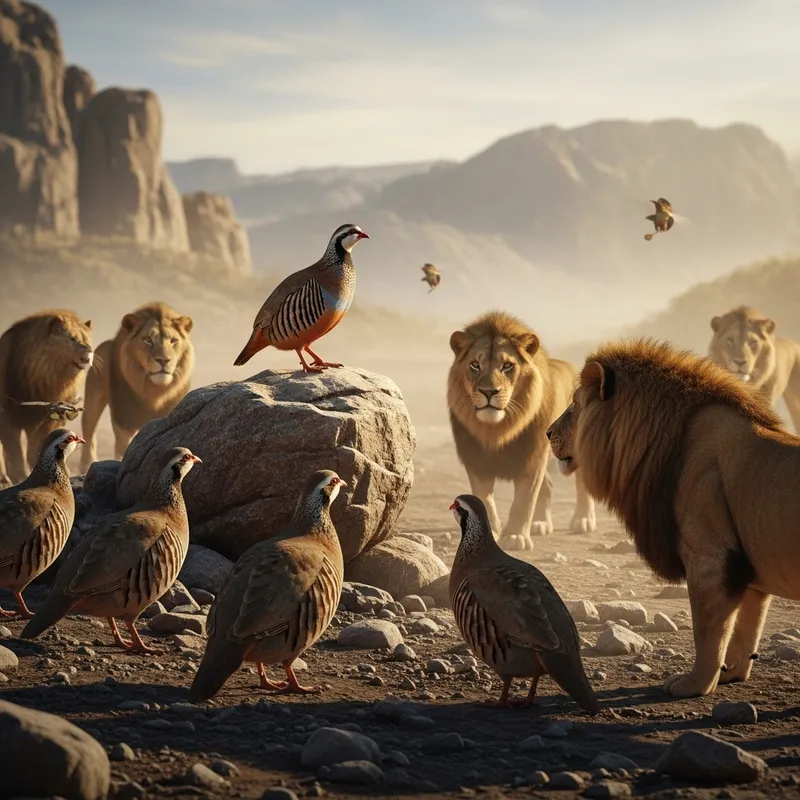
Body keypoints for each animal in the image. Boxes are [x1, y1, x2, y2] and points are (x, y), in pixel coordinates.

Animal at [0, 310, 93, 485]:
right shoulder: (8, 416)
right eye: (72, 339)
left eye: (86, 340)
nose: (90, 352)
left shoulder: (50, 417)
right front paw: (20, 476)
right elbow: (14, 451)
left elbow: (38, 445)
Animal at [80, 302, 194, 472]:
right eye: (147, 340)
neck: (154, 391)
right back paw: (87, 465)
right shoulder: (124, 418)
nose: (163, 360)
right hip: (94, 398)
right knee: (89, 430)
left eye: (174, 341)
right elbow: (124, 448)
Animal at [448, 310, 596, 552]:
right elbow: (483, 497)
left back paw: (583, 520)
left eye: (507, 366)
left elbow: (524, 500)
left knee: (582, 483)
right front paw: (491, 531)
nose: (489, 391)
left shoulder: (533, 457)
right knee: (548, 486)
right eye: (475, 365)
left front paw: (515, 536)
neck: (497, 429)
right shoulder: (475, 459)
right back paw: (540, 523)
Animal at [547, 337, 800, 698]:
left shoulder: (712, 559)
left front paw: (694, 684)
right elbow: (746, 629)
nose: (547, 433)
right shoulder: (749, 570)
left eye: (574, 405)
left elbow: (707, 633)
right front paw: (731, 674)